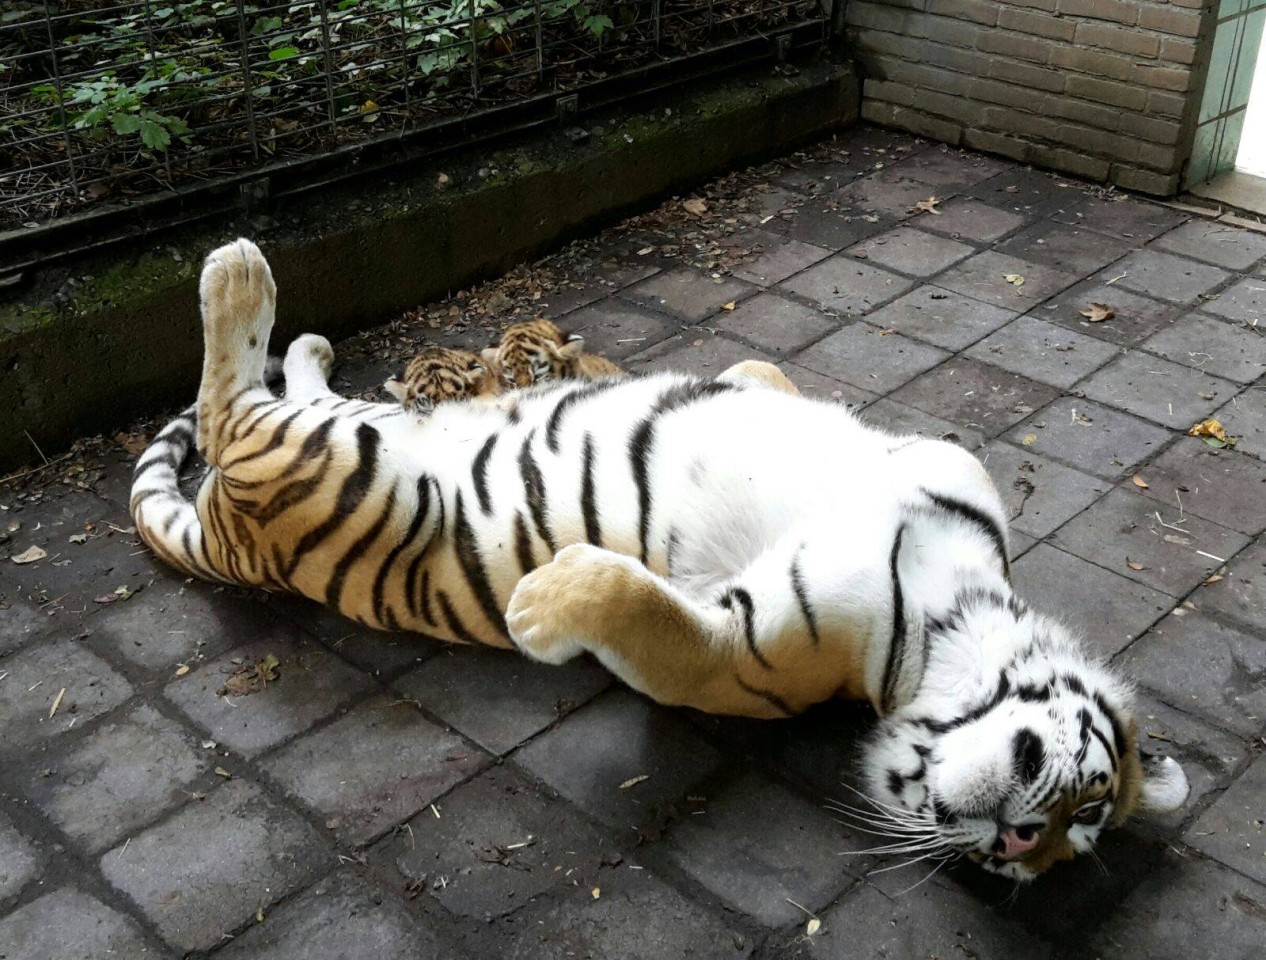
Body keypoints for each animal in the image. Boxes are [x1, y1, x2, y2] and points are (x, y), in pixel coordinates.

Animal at [136, 239, 1184, 881]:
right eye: (1086, 796)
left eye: (1051, 849)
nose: (1010, 844)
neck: (951, 609)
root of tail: (232, 536)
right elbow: (757, 381)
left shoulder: (731, 652)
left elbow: (636, 601)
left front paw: (537, 604)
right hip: (339, 439)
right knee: (236, 399)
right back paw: (258, 288)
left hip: (326, 461)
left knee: (232, 408)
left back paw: (256, 294)